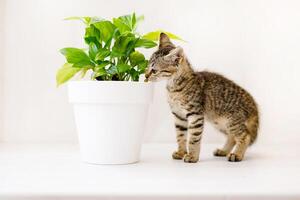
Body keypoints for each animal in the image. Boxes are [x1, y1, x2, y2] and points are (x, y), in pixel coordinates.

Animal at [145, 33, 258, 162]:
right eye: (147, 67)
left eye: (154, 70)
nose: (145, 76)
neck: (174, 87)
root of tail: (252, 102)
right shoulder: (179, 116)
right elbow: (180, 136)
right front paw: (181, 152)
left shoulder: (195, 115)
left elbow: (193, 138)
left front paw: (192, 156)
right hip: (219, 122)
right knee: (232, 137)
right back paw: (223, 151)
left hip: (231, 120)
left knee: (245, 135)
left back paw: (237, 154)